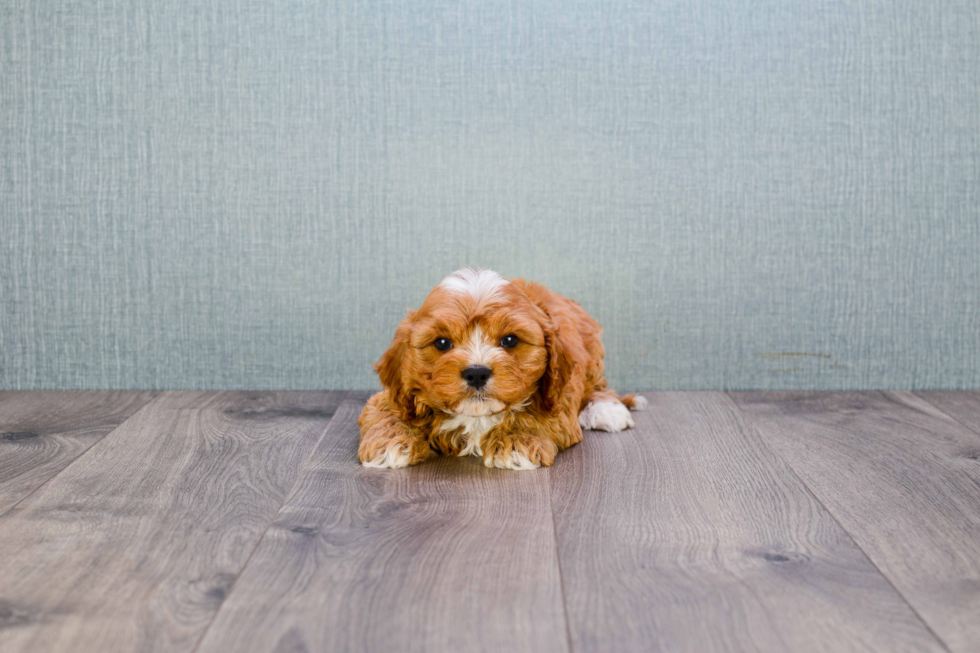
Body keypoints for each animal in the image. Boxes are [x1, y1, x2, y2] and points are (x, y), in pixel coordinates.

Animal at [356, 268, 648, 468]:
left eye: (509, 340)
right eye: (441, 343)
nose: (476, 372)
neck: (476, 417)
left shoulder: (559, 400)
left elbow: (535, 416)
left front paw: (516, 442)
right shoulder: (392, 396)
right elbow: (387, 412)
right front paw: (390, 443)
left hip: (592, 355)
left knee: (597, 386)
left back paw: (606, 410)